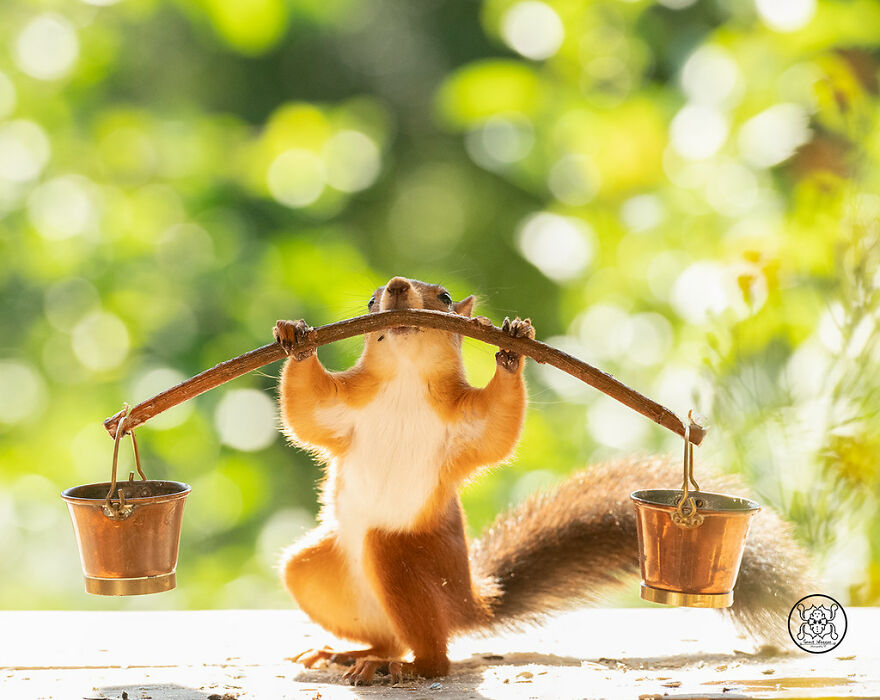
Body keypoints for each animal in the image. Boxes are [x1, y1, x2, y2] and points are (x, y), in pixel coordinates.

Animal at [273, 276, 810, 686]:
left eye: (444, 297)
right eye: (371, 301)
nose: (398, 288)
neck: (404, 380)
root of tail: (468, 603)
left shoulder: (465, 425)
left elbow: (498, 425)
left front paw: (513, 344)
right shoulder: (343, 410)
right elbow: (305, 410)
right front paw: (295, 338)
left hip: (399, 557)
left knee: (434, 657)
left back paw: (394, 667)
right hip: (313, 570)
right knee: (389, 634)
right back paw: (349, 654)